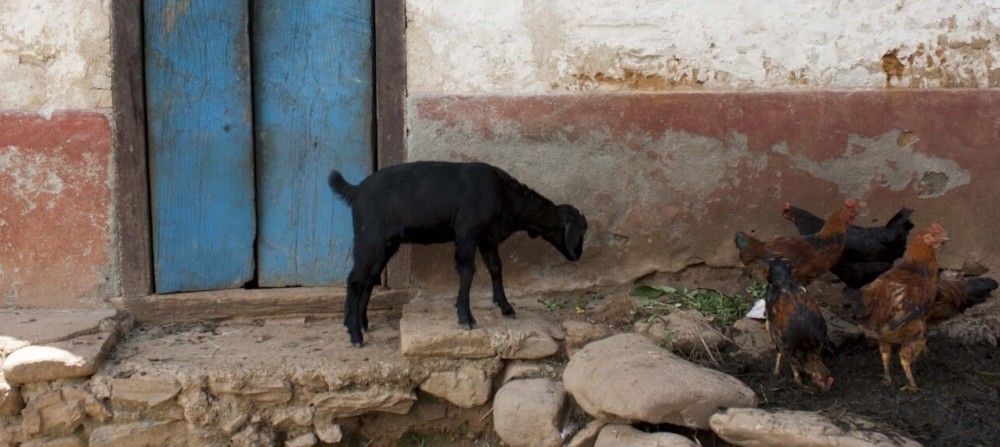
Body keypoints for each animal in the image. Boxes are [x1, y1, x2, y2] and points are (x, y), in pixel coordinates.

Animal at [328, 161, 584, 346]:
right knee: (355, 279)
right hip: (370, 238)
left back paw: (359, 323)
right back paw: (355, 335)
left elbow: (496, 267)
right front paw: (465, 317)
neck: (506, 197)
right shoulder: (466, 232)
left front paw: (506, 307)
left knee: (369, 278)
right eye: (580, 230)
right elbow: (468, 271)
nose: (578, 255)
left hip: (386, 244)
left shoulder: (487, 237)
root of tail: (356, 190)